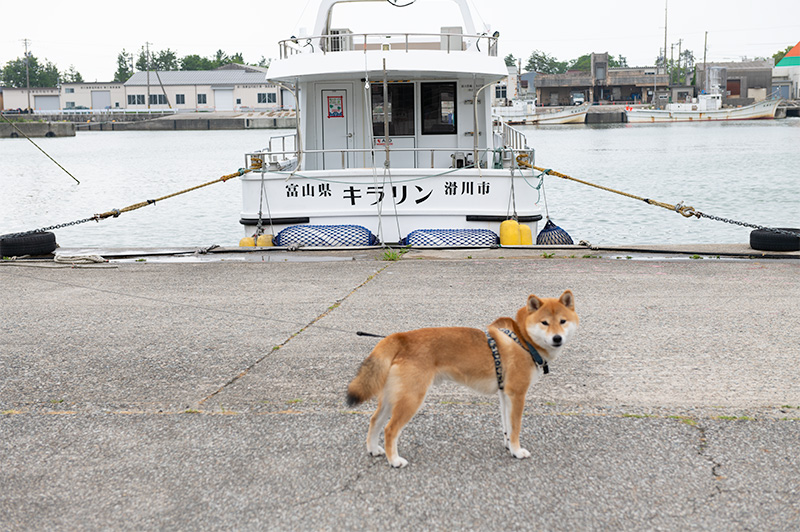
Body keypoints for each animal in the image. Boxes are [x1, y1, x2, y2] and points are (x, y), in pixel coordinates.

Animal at [346, 288, 580, 468]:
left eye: (562, 321)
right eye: (544, 323)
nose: (557, 338)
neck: (523, 339)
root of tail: (400, 337)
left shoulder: (506, 394)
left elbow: (507, 426)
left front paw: (508, 446)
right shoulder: (518, 394)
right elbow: (516, 427)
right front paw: (517, 450)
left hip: (392, 396)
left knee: (374, 420)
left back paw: (373, 449)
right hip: (411, 398)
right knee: (390, 429)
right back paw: (394, 460)